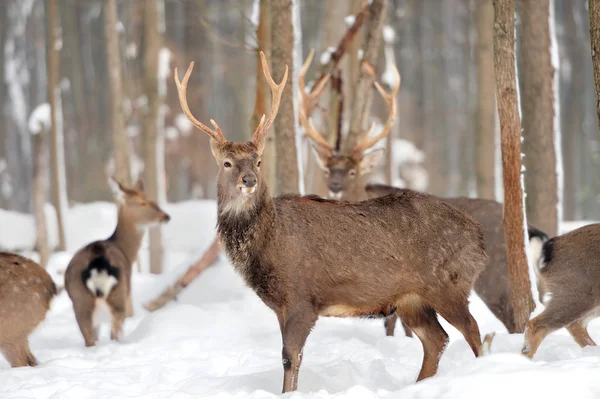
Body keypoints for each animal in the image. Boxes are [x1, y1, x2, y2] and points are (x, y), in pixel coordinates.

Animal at [64, 180, 170, 348]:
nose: (165, 216)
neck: (126, 251)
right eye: (143, 202)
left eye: (151, 199)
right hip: (119, 297)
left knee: (90, 339)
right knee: (115, 333)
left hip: (80, 300)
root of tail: (98, 263)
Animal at [175, 50, 488, 394]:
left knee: (473, 330)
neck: (270, 242)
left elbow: (290, 357)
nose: (250, 180)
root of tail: (479, 238)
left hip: (449, 283)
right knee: (437, 339)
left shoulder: (302, 297)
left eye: (258, 160)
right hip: (411, 300)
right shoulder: (283, 306)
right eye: (228, 163)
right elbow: (294, 358)